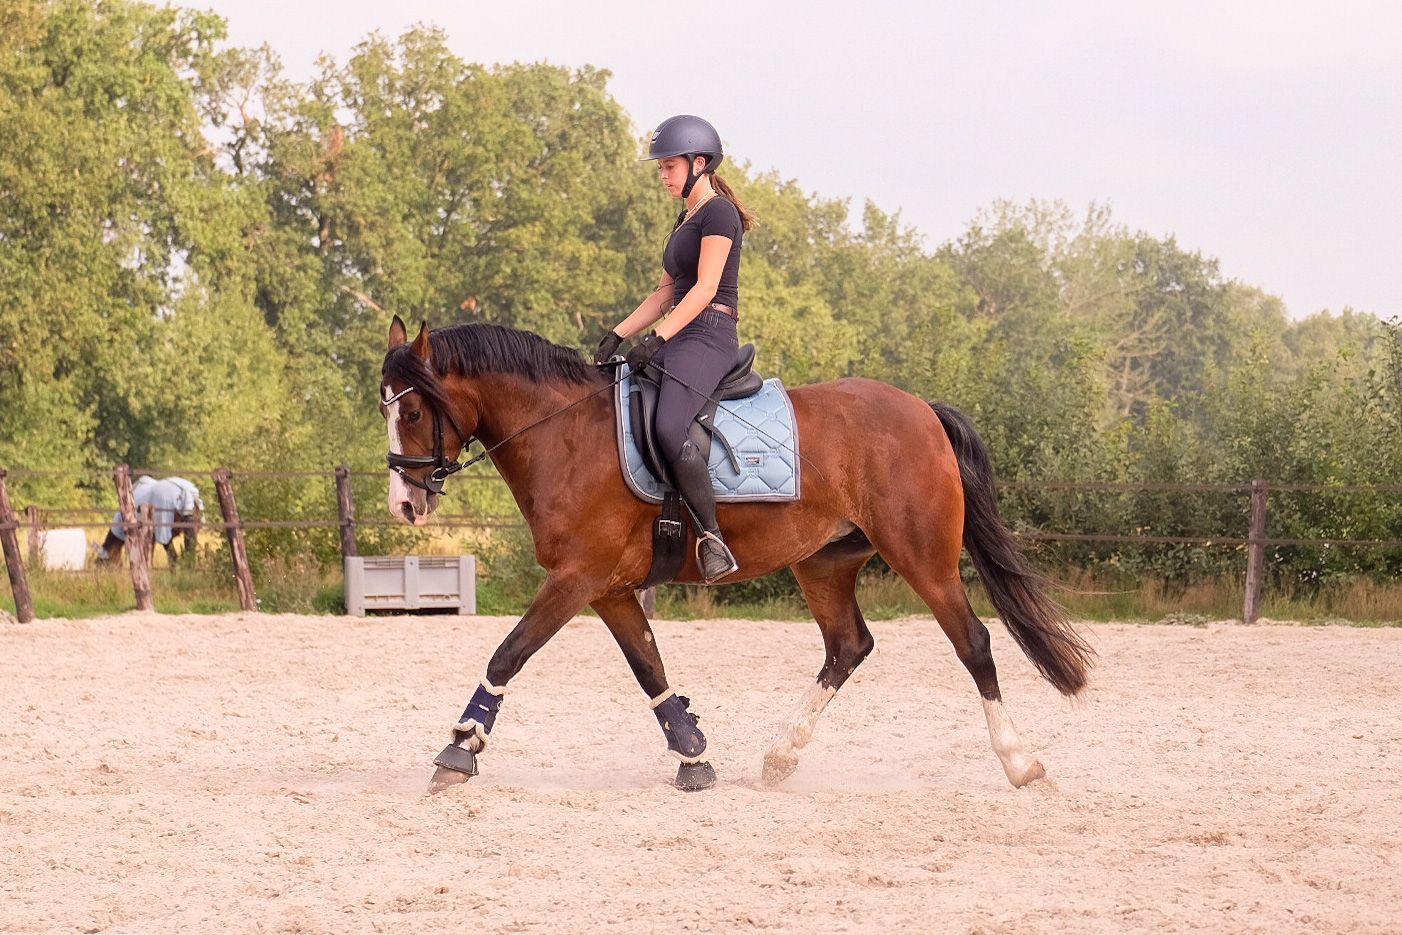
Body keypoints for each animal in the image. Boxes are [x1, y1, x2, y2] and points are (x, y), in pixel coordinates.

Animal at [378, 315, 1094, 793]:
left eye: (411, 413)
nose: (405, 505)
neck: (566, 435)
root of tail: (922, 409)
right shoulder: (609, 588)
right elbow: (650, 669)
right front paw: (693, 753)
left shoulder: (577, 578)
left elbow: (509, 652)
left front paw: (460, 749)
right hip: (825, 562)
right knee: (848, 646)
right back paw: (781, 756)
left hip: (923, 556)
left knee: (972, 641)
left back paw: (1021, 763)